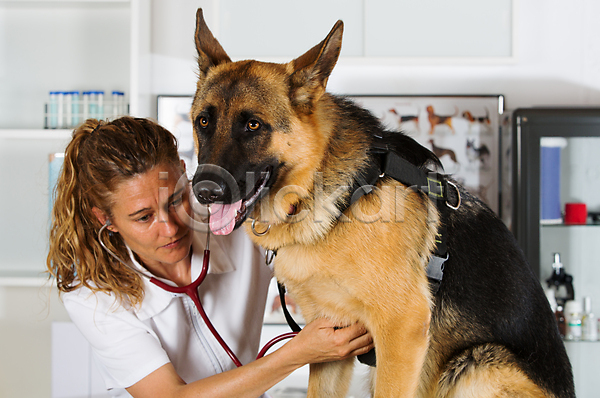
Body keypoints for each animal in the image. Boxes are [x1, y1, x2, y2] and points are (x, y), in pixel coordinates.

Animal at [190, 9, 576, 398]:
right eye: (203, 121)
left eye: (253, 125)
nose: (204, 191)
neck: (336, 201)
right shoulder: (330, 340)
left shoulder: (401, 330)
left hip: (477, 365)